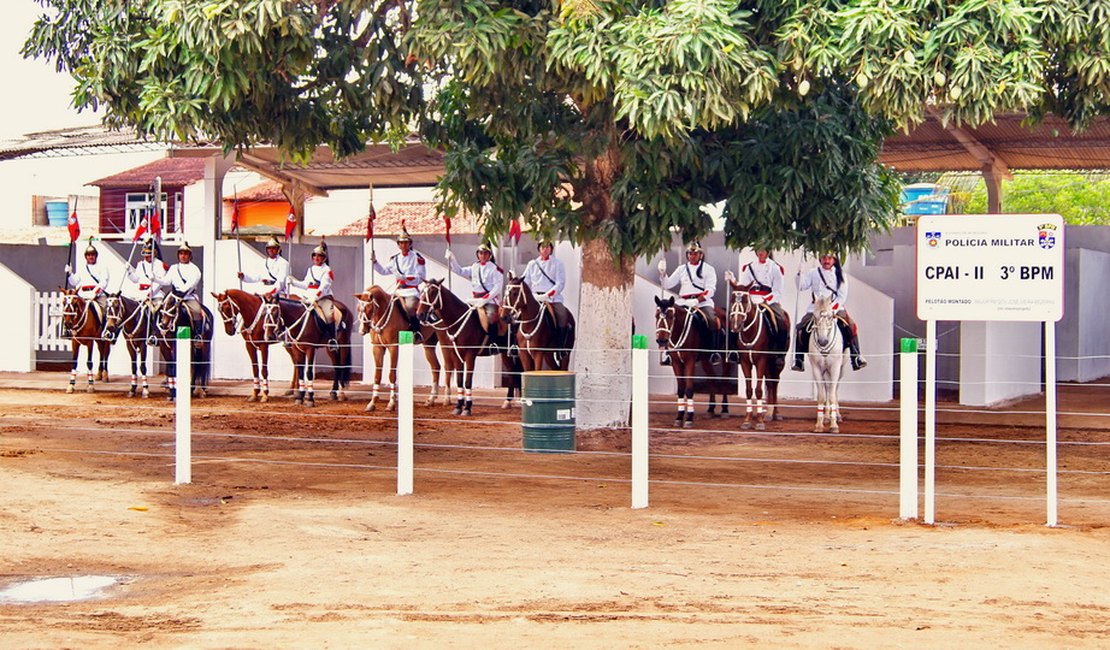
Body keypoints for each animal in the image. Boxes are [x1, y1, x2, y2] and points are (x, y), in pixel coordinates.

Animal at [417, 278, 523, 414]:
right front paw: (458, 406)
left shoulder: (470, 355)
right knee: (512, 372)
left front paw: (467, 407)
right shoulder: (456, 355)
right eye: (422, 292)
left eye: (432, 292)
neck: (460, 322)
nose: (420, 314)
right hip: (505, 353)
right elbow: (459, 381)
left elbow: (468, 381)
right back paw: (507, 402)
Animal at [648, 292, 737, 425]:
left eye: (671, 316)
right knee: (712, 379)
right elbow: (681, 390)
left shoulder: (690, 362)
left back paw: (724, 410)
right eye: (656, 316)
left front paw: (689, 418)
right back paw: (710, 409)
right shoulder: (676, 363)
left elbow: (689, 389)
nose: (662, 341)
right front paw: (679, 417)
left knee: (725, 379)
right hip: (705, 360)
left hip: (724, 356)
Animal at [723, 283, 794, 430]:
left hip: (778, 361)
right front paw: (747, 420)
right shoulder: (745, 362)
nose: (736, 325)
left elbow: (759, 390)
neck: (750, 332)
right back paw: (769, 413)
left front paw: (760, 421)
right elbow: (749, 390)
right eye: (732, 300)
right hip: (768, 363)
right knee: (770, 382)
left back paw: (775, 413)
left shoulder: (761, 361)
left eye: (745, 301)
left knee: (775, 382)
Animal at [808, 295, 848, 430]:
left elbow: (832, 395)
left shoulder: (835, 368)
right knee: (827, 389)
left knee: (833, 390)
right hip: (825, 371)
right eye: (814, 316)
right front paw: (819, 424)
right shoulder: (816, 368)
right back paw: (826, 416)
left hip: (840, 370)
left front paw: (834, 425)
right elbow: (822, 395)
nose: (823, 341)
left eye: (830, 316)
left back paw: (837, 416)